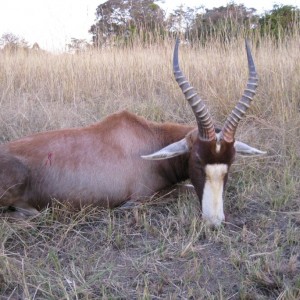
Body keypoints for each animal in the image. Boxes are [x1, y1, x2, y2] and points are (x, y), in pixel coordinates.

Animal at [0, 39, 264, 225]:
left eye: (231, 162)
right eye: (197, 161)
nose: (214, 221)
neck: (149, 138)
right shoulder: (142, 197)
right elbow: (183, 191)